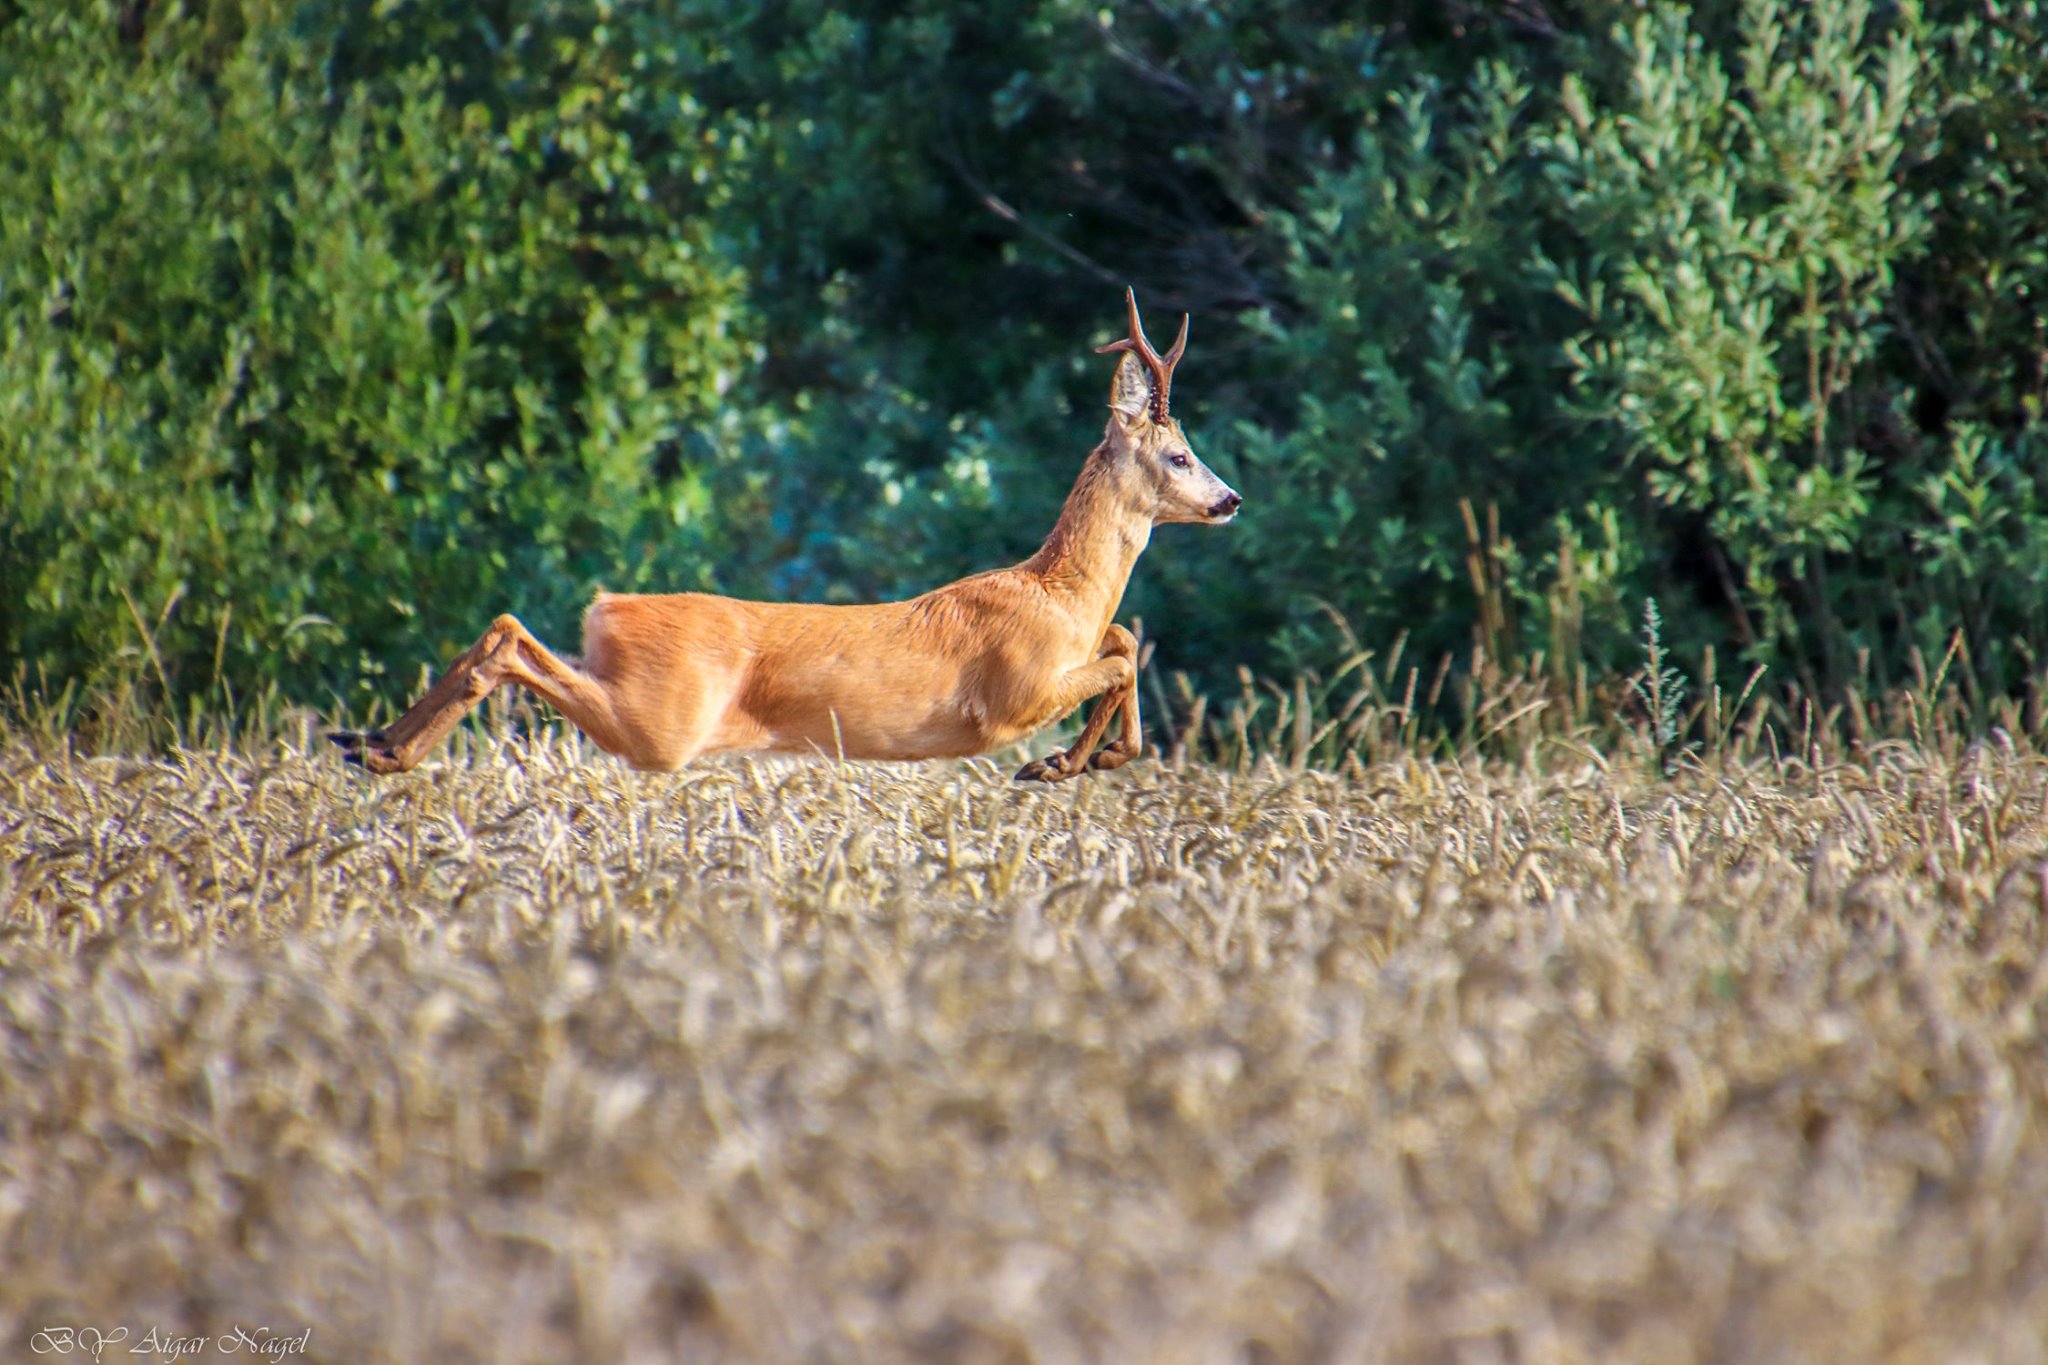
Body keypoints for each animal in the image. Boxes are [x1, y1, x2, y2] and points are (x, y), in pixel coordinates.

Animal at [327, 286, 1236, 777]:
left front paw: (1076, 763)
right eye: (1181, 454)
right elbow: (1118, 659)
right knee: (513, 640)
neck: (1059, 592)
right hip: (663, 720)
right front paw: (1063, 761)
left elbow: (1124, 643)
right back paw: (384, 750)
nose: (1229, 499)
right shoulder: (1012, 693)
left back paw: (369, 743)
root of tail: (609, 605)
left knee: (504, 629)